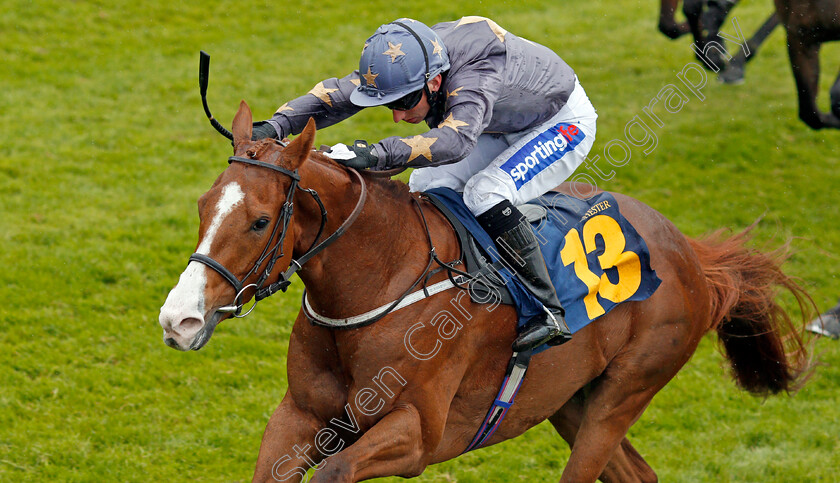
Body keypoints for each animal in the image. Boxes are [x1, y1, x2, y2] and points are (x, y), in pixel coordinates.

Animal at [159, 100, 812, 482]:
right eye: (203, 206)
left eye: (259, 221)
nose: (179, 319)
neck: (382, 283)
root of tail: (691, 255)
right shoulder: (300, 416)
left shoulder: (416, 433)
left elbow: (335, 473)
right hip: (568, 398)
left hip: (625, 391)